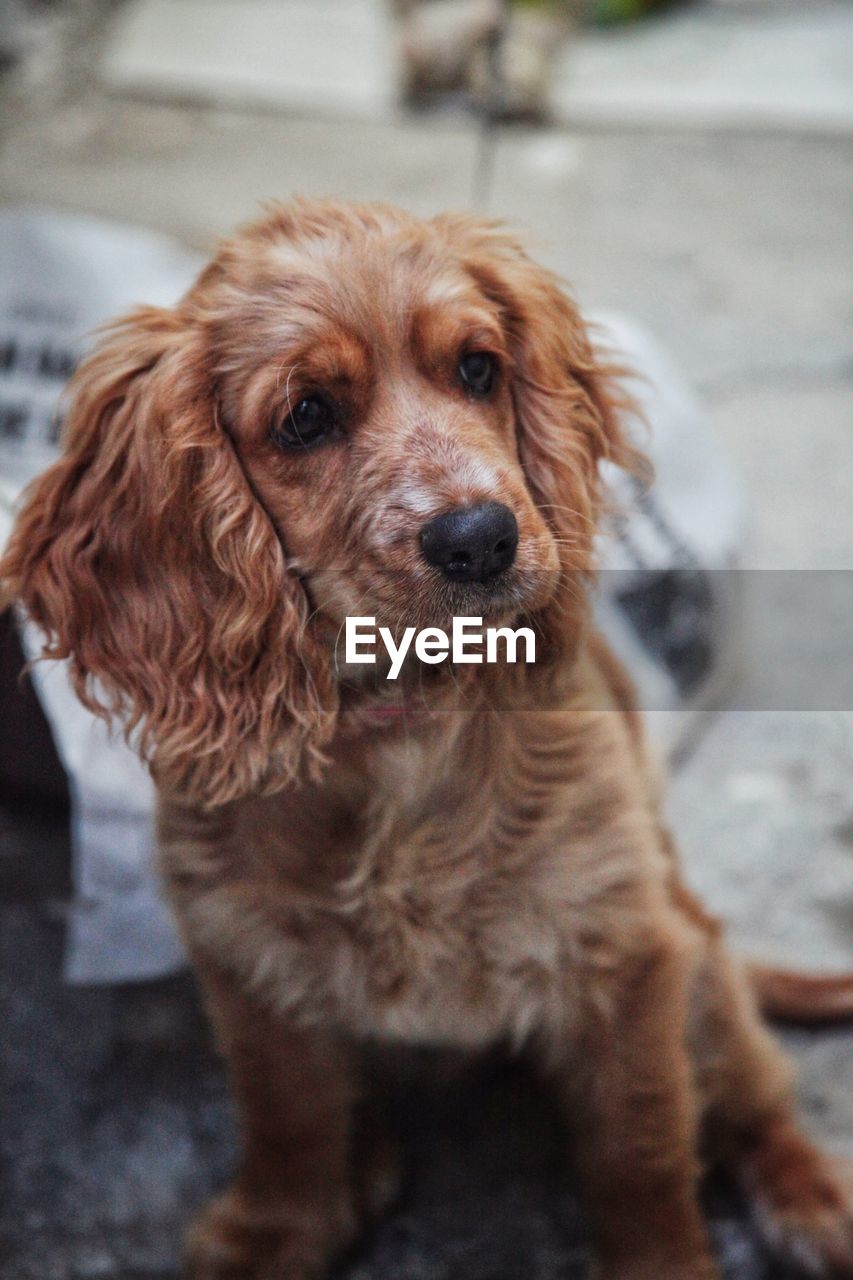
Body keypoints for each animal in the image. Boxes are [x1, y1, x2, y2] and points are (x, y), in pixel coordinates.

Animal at [1, 202, 850, 1280]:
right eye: (306, 417)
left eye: (478, 368)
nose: (480, 537)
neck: (399, 738)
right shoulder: (246, 956)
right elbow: (286, 1114)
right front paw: (278, 1229)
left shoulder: (626, 951)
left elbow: (640, 1144)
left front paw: (659, 1258)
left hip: (700, 961)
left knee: (753, 1093)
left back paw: (812, 1197)